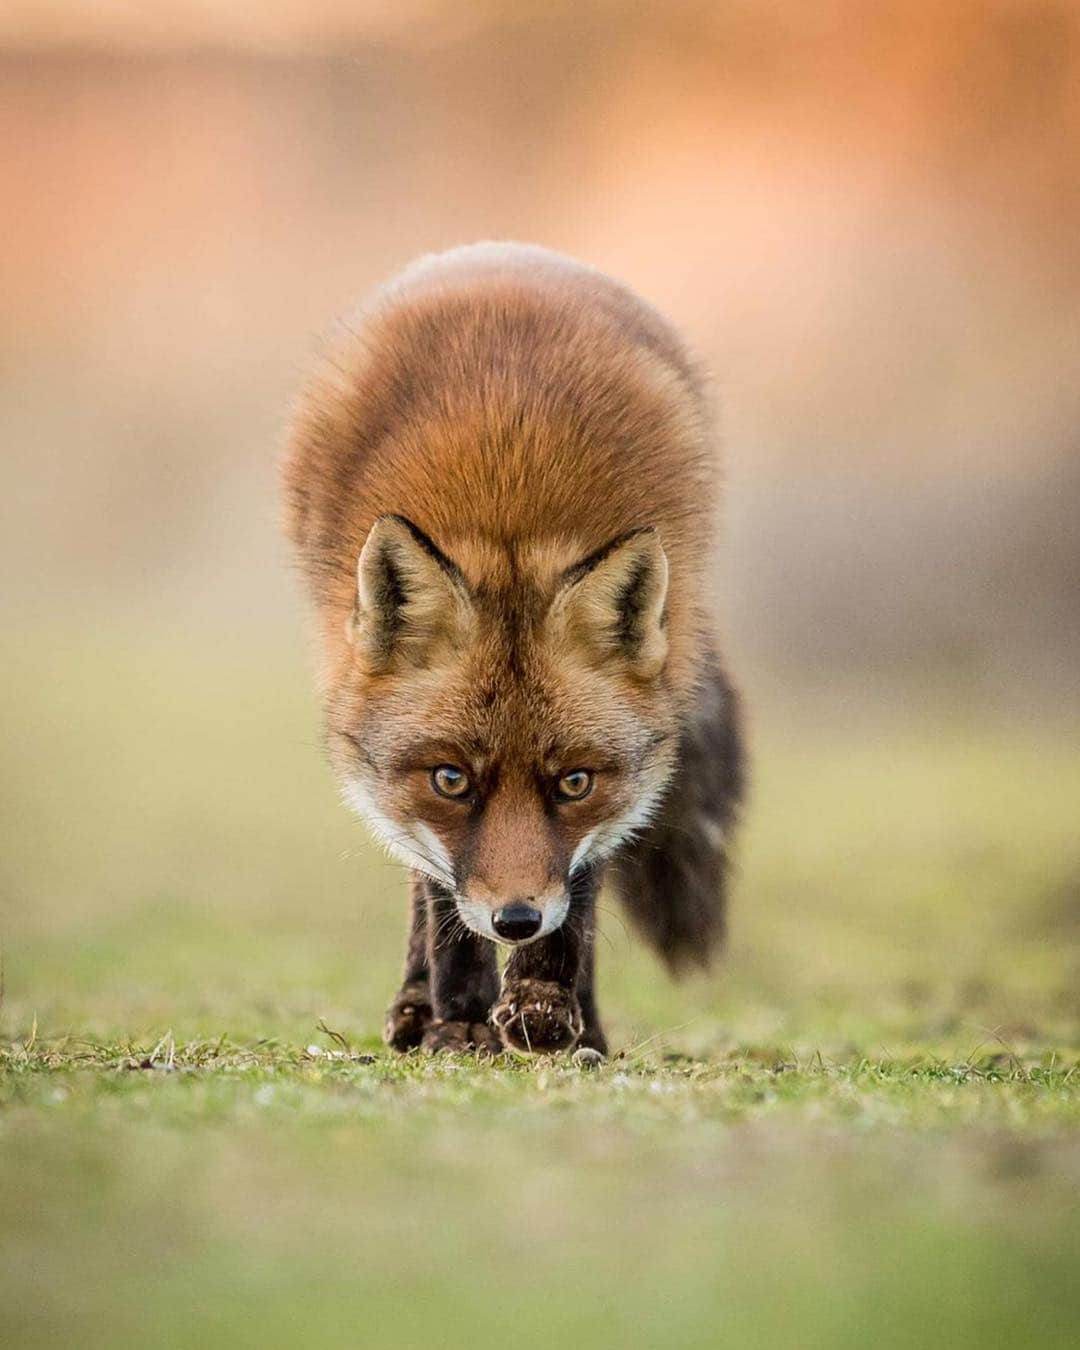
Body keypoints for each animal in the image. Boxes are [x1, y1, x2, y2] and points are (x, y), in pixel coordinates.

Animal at [282, 248, 745, 1058]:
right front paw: (462, 1016)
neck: (509, 514)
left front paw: (544, 1007)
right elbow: (441, 901)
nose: (517, 920)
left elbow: (582, 893)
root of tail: (503, 254)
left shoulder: (616, 787)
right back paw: (418, 1008)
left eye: (573, 783)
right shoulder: (424, 806)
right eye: (451, 779)